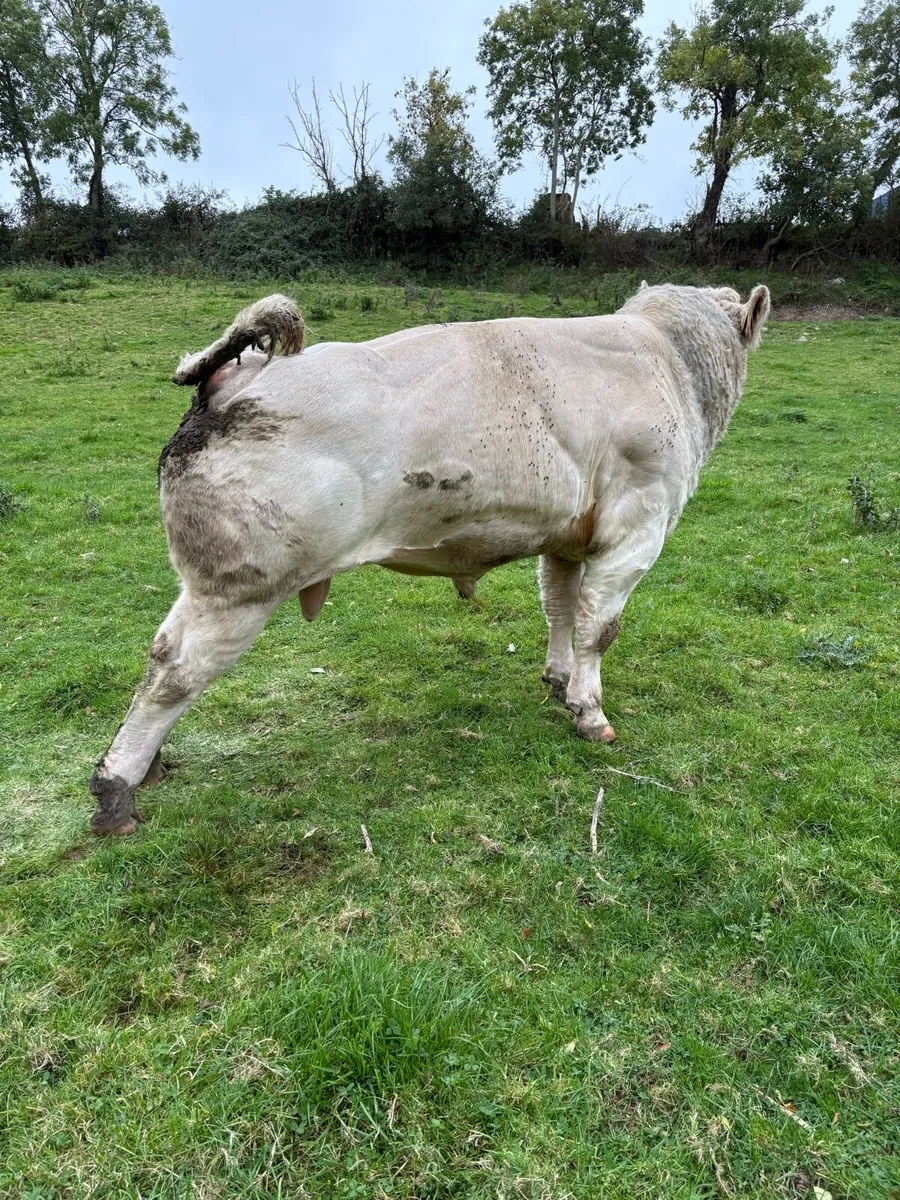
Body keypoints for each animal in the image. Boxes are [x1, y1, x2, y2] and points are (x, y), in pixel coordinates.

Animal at [88, 281, 770, 835]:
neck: (669, 362)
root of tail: (242, 376)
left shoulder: (568, 536)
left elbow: (560, 609)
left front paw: (559, 681)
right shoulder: (637, 525)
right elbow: (599, 628)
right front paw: (589, 710)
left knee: (159, 655)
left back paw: (143, 764)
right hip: (238, 588)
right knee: (175, 671)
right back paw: (116, 788)